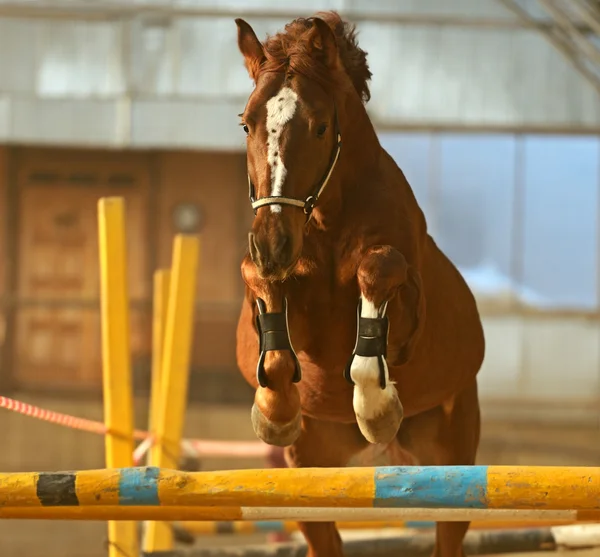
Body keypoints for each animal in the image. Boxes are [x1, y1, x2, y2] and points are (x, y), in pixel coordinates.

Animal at [234, 11, 488, 556]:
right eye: (246, 123)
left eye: (320, 126)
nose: (272, 243)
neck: (327, 221)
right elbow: (268, 308)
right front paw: (276, 412)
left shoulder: (408, 304)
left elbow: (379, 273)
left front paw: (376, 409)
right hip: (311, 470)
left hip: (452, 459)